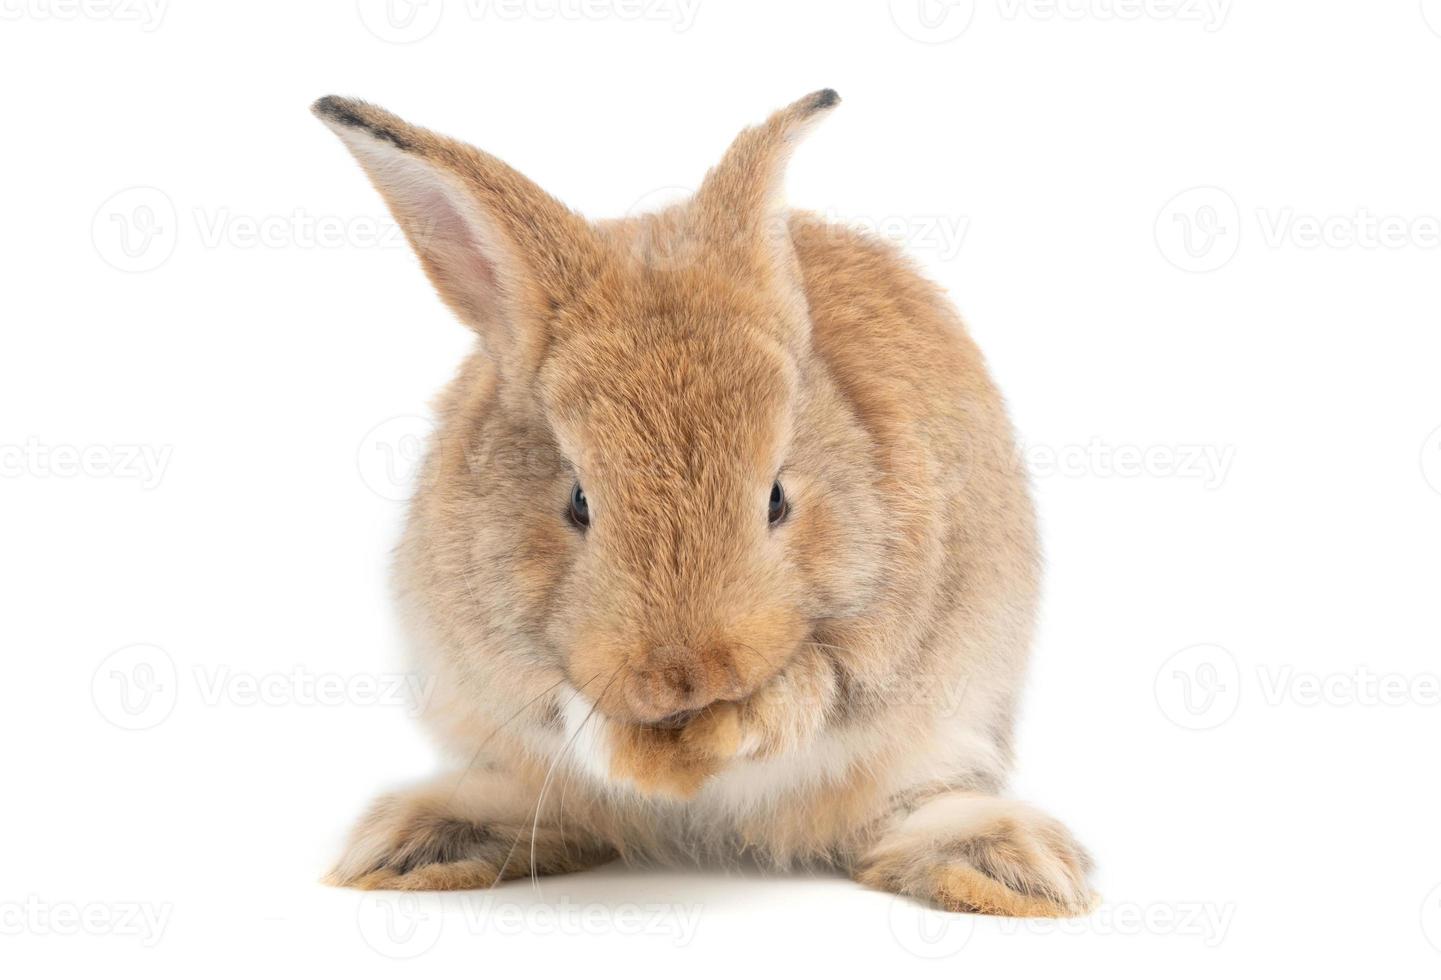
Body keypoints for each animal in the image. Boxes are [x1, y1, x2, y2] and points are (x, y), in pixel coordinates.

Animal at [315, 91, 1095, 916]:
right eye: (578, 503)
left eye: (777, 500)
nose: (684, 678)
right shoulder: (503, 664)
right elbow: (568, 712)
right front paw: (651, 759)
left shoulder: (874, 643)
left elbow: (808, 693)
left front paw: (708, 740)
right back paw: (419, 844)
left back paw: (1008, 868)